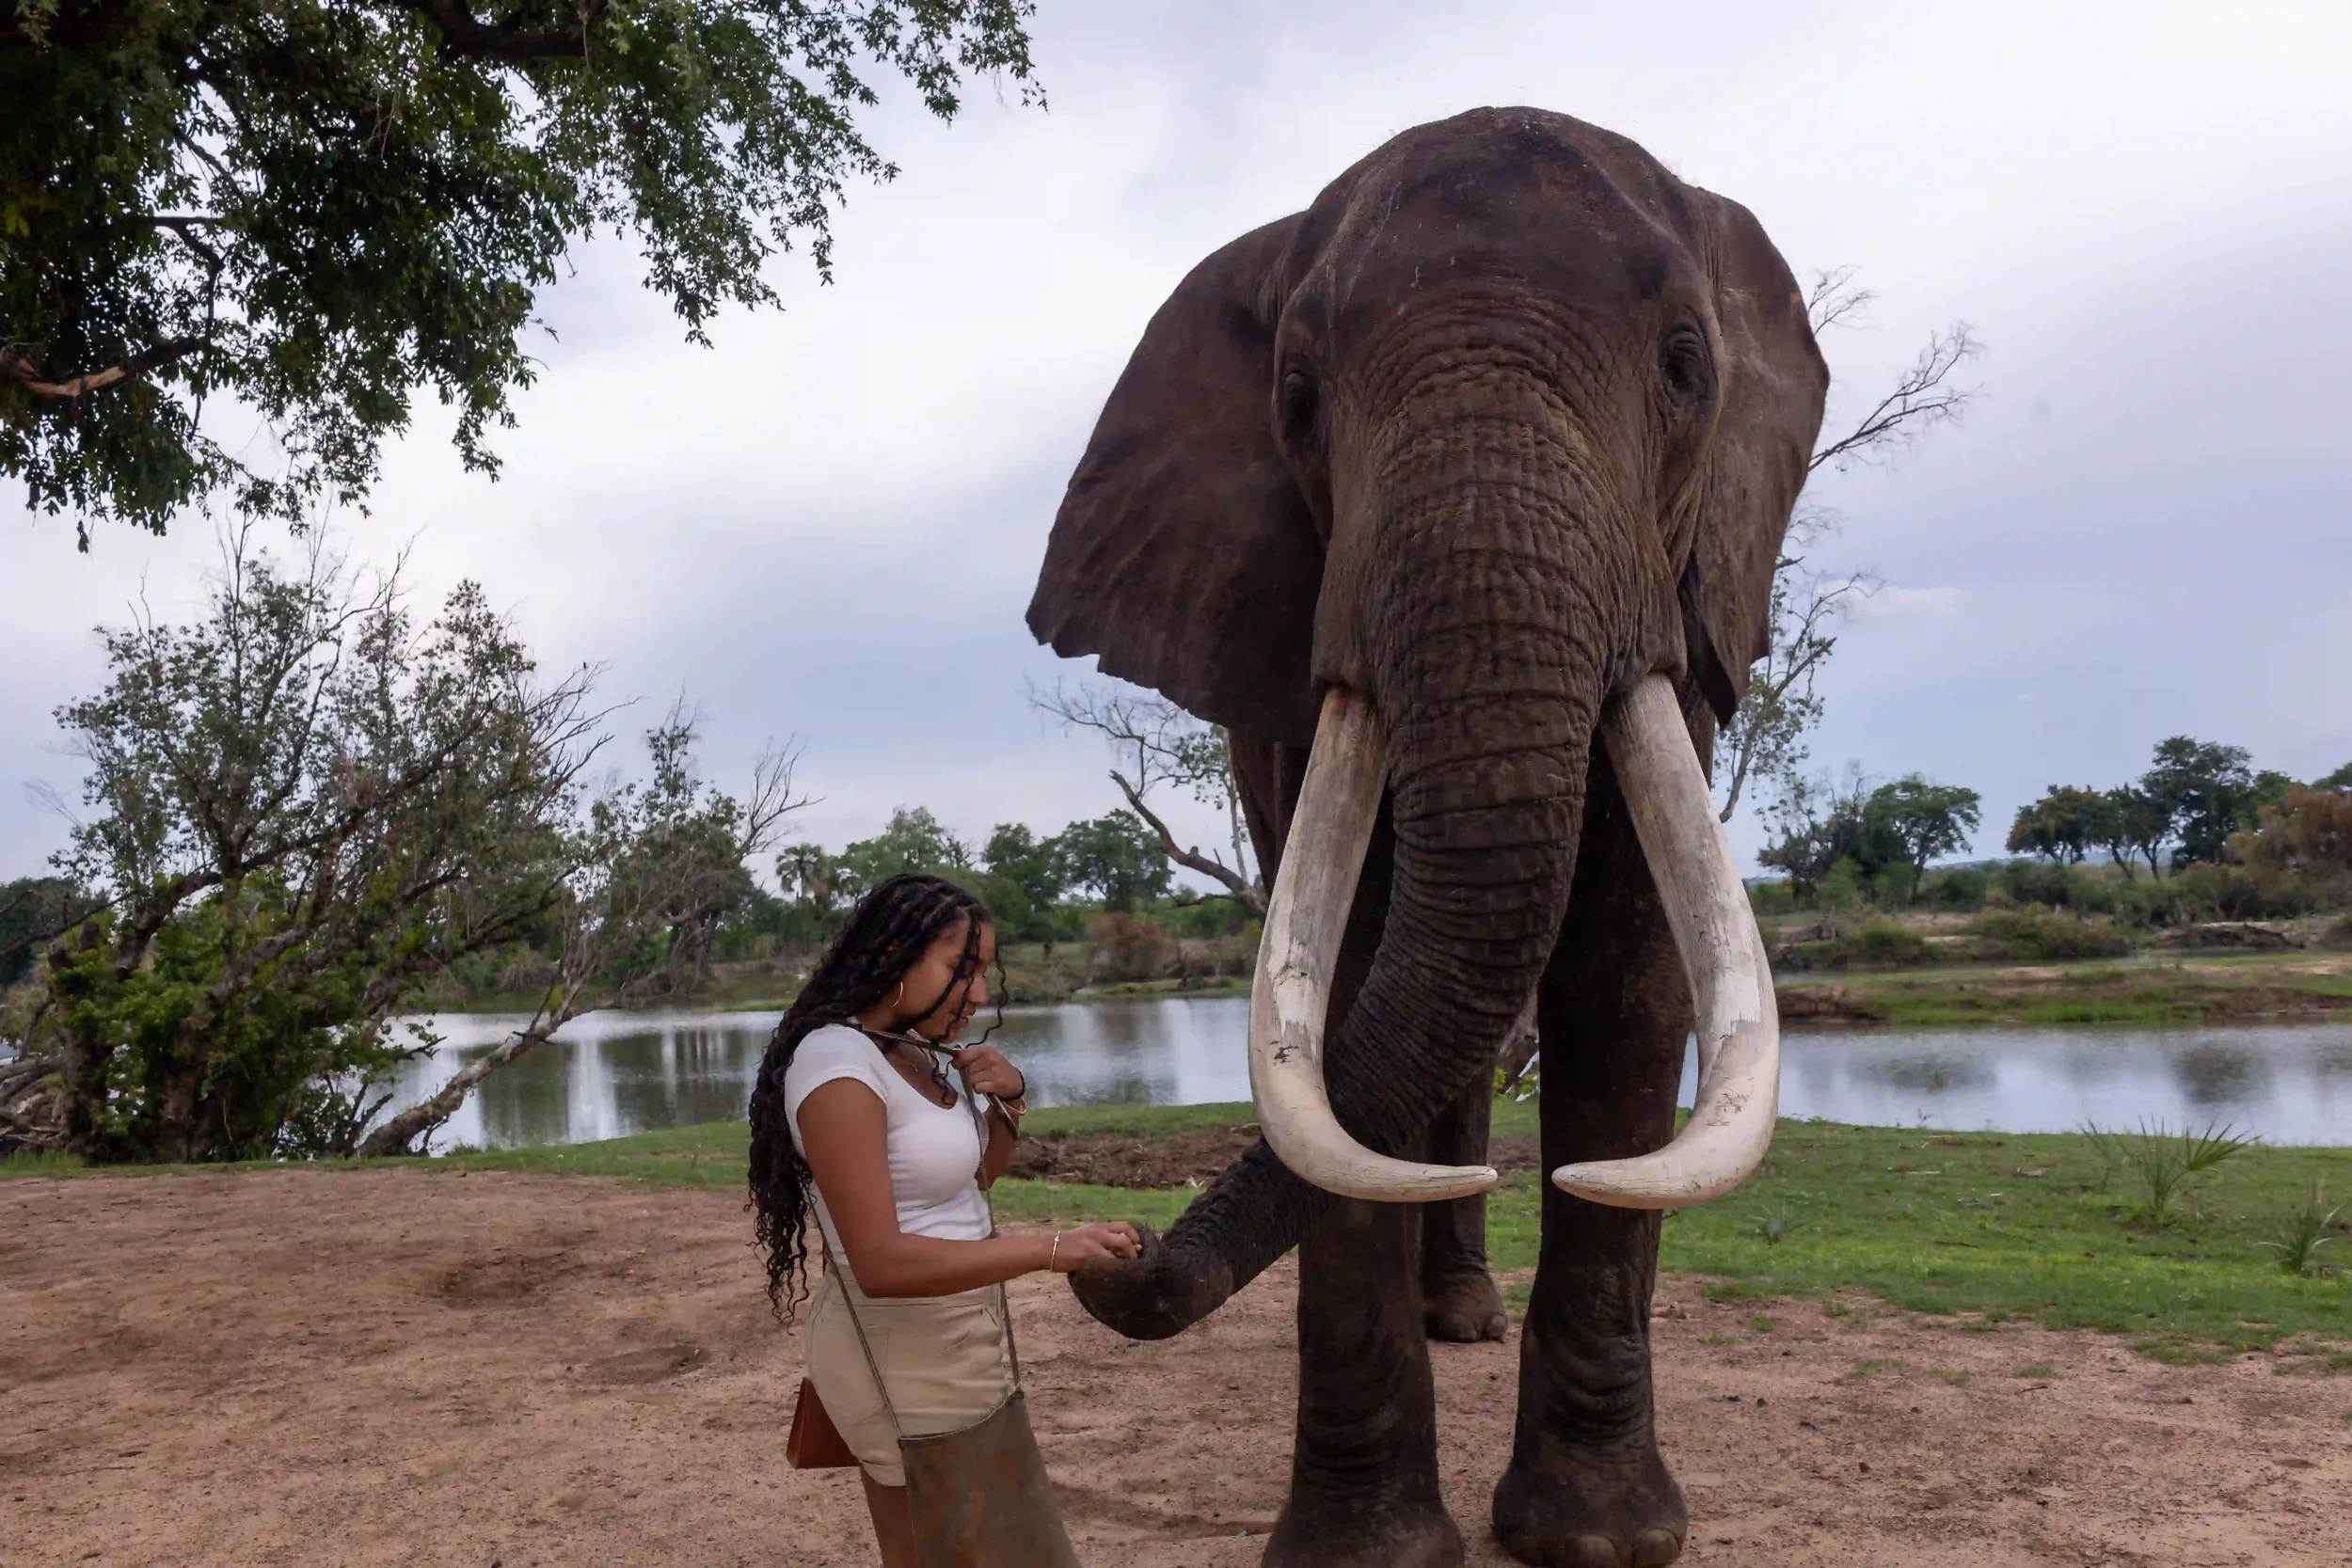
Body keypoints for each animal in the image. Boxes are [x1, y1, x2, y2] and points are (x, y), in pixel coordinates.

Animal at [1026, 108, 1825, 1568]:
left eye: (1686, 366)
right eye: (1297, 401)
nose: (1110, 1250)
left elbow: (1629, 987)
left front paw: (1598, 1539)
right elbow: (1341, 996)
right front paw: (1368, 1553)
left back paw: (1466, 1316)